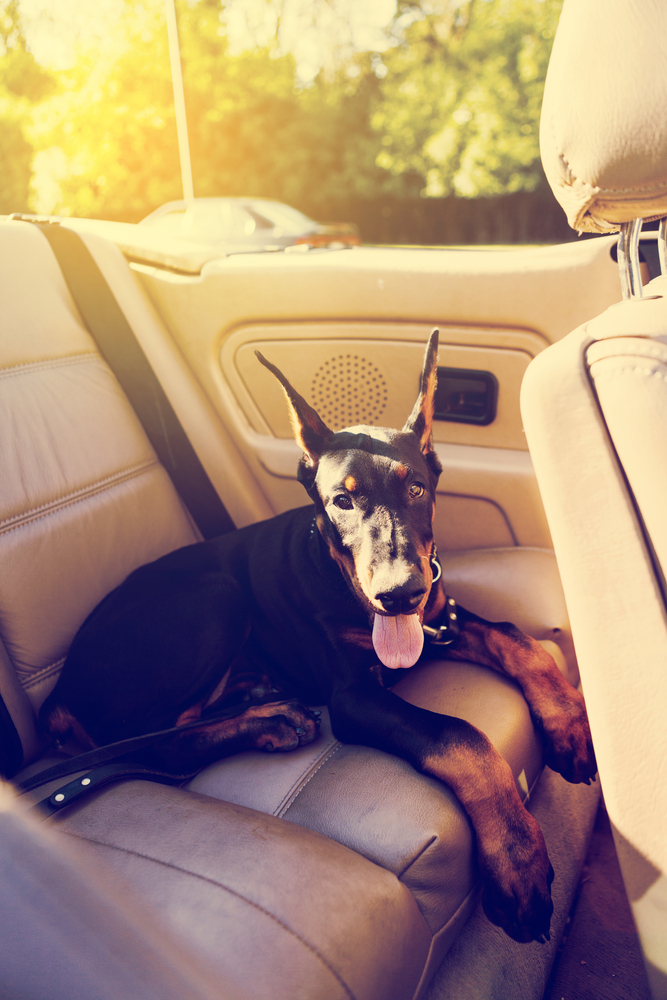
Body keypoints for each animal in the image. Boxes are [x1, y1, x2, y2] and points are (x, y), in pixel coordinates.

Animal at [39, 330, 596, 944]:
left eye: (417, 489)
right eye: (342, 500)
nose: (400, 594)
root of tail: (58, 691)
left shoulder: (439, 619)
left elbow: (514, 638)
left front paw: (572, 725)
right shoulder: (353, 697)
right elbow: (460, 735)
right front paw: (518, 860)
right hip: (213, 597)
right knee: (155, 742)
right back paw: (271, 721)